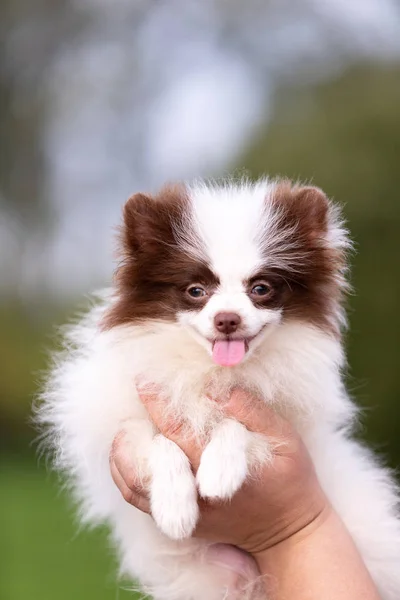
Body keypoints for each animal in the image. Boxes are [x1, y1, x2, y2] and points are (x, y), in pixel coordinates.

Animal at [39, 179, 400, 600]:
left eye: (260, 288)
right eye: (196, 291)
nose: (227, 319)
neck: (213, 370)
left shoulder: (285, 424)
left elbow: (236, 422)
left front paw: (219, 472)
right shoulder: (121, 422)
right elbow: (157, 439)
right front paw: (175, 507)